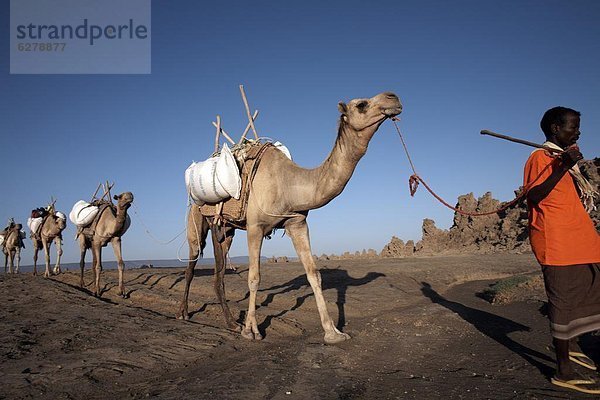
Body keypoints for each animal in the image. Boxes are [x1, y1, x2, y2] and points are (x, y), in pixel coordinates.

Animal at [178, 90, 404, 344]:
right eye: (361, 105)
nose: (393, 97)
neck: (289, 184)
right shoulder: (255, 226)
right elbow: (254, 277)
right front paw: (252, 331)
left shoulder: (298, 223)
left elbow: (314, 274)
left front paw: (333, 332)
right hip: (196, 218)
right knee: (191, 264)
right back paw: (185, 313)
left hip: (226, 230)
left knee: (219, 276)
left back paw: (231, 323)